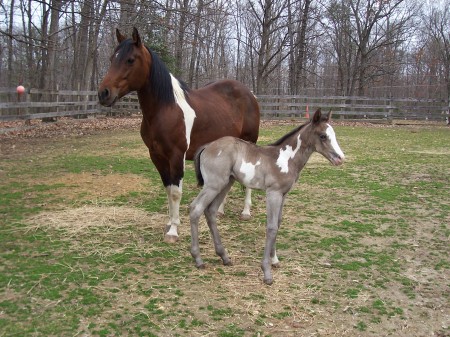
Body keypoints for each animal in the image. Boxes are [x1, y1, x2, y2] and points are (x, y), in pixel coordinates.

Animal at [98, 26, 260, 242]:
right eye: (111, 58)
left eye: (130, 59)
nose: (103, 93)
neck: (166, 109)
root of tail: (250, 94)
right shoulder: (157, 156)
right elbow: (168, 189)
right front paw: (169, 223)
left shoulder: (176, 156)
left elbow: (175, 192)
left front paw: (173, 231)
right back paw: (220, 211)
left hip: (248, 143)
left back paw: (246, 212)